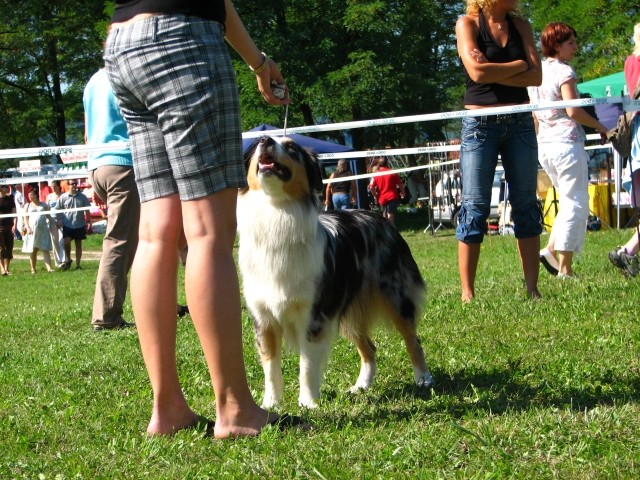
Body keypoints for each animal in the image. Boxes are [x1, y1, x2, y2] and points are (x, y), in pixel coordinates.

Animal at [238, 136, 432, 408]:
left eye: (291, 148)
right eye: (256, 145)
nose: (265, 139)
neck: (276, 211)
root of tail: (380, 218)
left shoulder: (314, 315)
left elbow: (306, 365)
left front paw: (307, 403)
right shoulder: (263, 318)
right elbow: (270, 368)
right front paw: (270, 405)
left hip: (395, 297)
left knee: (413, 340)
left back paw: (423, 378)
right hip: (347, 311)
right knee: (369, 348)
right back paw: (361, 386)